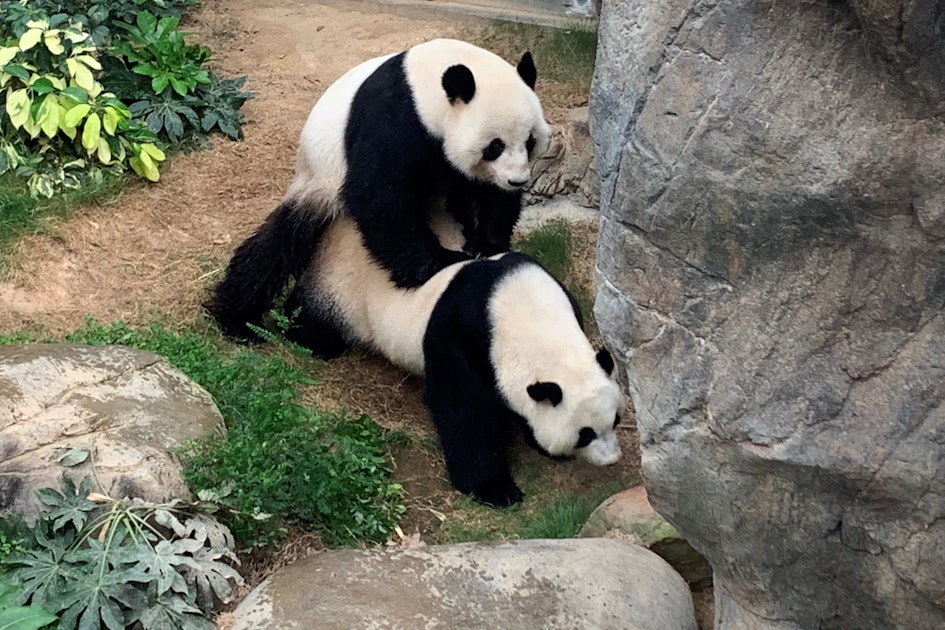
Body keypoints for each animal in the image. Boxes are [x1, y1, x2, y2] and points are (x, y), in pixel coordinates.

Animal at [206, 39, 544, 344]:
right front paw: (439, 261)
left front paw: (487, 244)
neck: (426, 86)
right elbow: (378, 195)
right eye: (495, 146)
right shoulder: (395, 118)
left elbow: (486, 195)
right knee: (277, 246)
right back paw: (238, 321)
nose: (517, 181)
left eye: (529, 141)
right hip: (318, 180)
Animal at [288, 215, 624, 512]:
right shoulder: (462, 337)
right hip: (342, 288)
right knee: (314, 321)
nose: (612, 459)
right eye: (585, 434)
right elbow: (463, 410)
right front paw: (495, 489)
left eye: (616, 421)